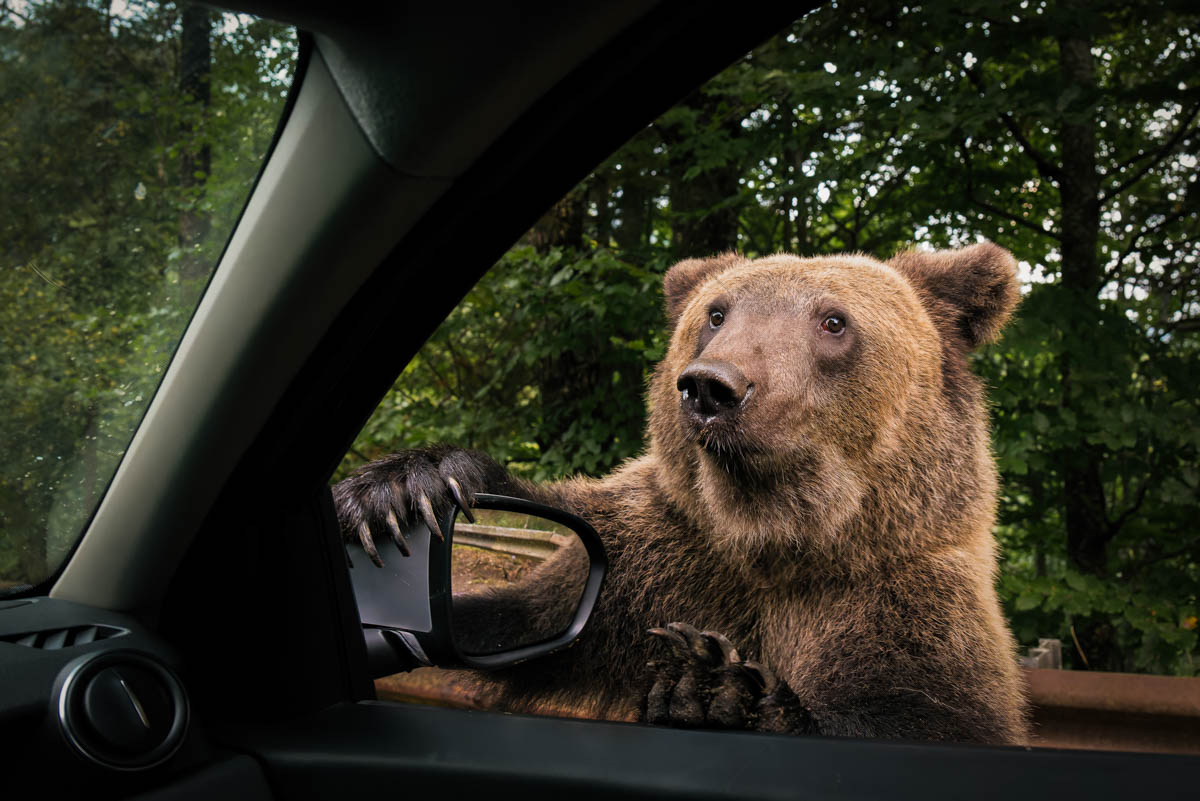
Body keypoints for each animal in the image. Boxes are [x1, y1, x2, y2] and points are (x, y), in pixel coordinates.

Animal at [336, 242, 1032, 743]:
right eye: (717, 312)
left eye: (834, 321)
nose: (712, 385)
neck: (769, 535)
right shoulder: (644, 564)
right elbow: (514, 620)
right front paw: (400, 492)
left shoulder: (900, 612)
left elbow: (922, 716)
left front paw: (715, 688)